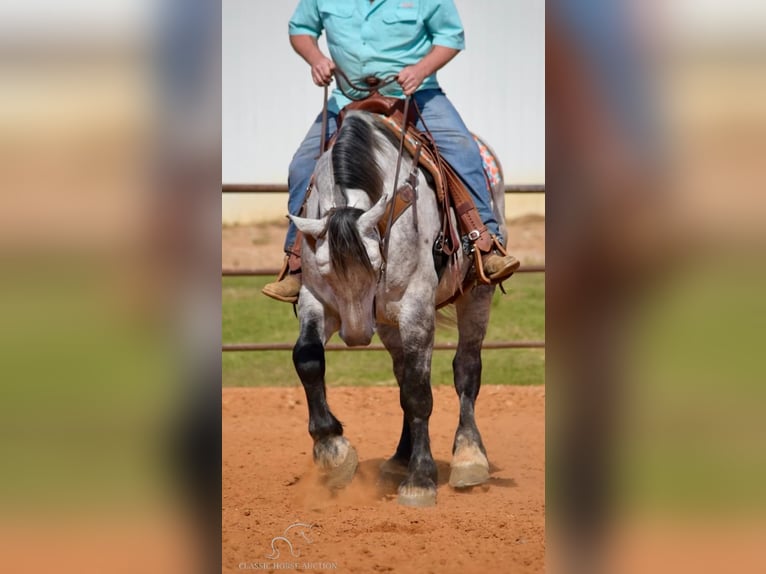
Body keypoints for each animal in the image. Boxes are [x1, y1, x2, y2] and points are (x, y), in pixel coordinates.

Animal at [288, 110, 504, 506]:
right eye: (324, 267)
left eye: (375, 263)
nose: (357, 333)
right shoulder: (317, 298)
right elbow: (308, 359)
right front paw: (333, 452)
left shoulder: (416, 307)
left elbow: (419, 392)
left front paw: (420, 479)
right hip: (388, 323)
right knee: (403, 373)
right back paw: (399, 459)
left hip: (475, 295)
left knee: (466, 369)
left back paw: (469, 457)